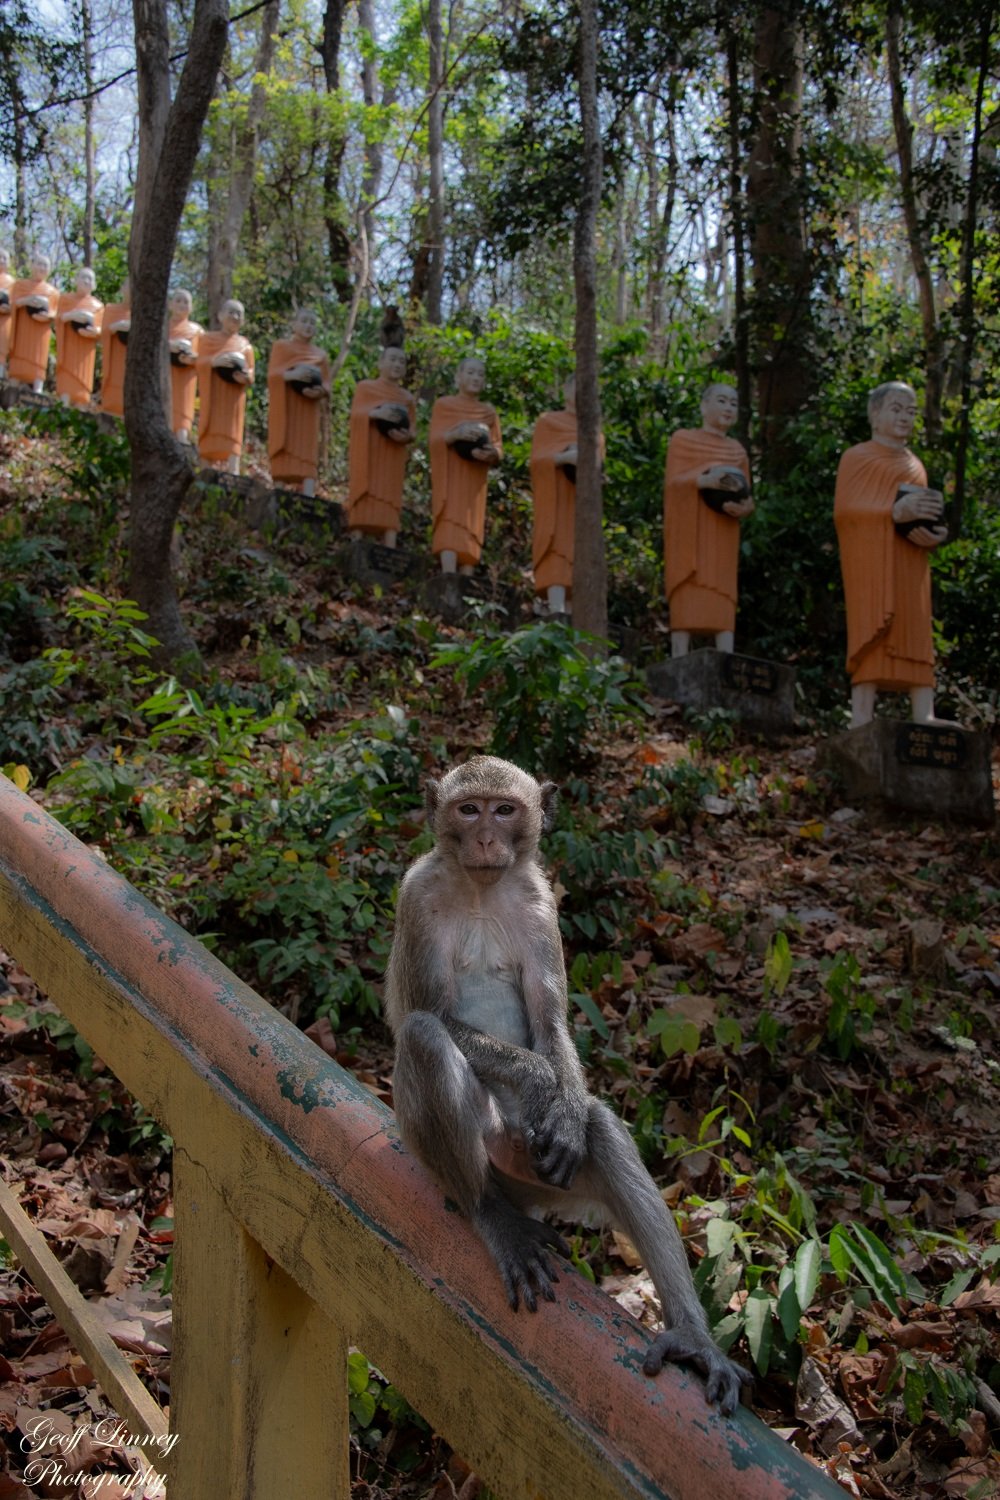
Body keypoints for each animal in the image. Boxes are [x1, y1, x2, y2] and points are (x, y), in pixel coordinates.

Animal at [384, 755, 748, 1415]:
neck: (480, 887)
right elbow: (426, 1012)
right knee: (425, 1037)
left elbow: (550, 1019)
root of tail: (519, 1193)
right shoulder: (415, 897)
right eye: (468, 809)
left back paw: (691, 1337)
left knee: (599, 1131)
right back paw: (491, 1215)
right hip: (488, 1155)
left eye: (504, 810)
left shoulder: (539, 904)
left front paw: (566, 1112)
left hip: (541, 1173)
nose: (485, 839)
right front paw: (535, 1078)